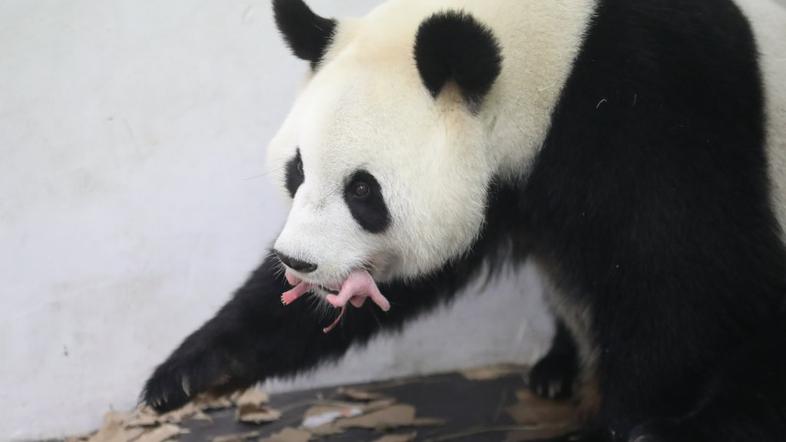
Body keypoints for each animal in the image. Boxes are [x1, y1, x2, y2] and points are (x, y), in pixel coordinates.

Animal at [142, 0, 786, 440]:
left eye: (362, 190)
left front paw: (630, 421)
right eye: (295, 171)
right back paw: (556, 368)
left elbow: (683, 279)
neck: (559, 57)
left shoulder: (660, 104)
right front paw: (188, 373)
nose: (299, 262)